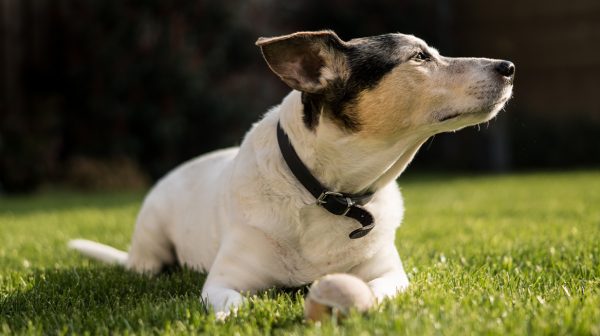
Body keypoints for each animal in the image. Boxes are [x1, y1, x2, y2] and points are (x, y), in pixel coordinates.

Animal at [69, 30, 510, 316]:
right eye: (419, 57)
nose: (508, 66)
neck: (330, 195)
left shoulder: (390, 275)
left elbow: (376, 289)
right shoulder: (222, 282)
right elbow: (233, 305)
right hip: (151, 244)